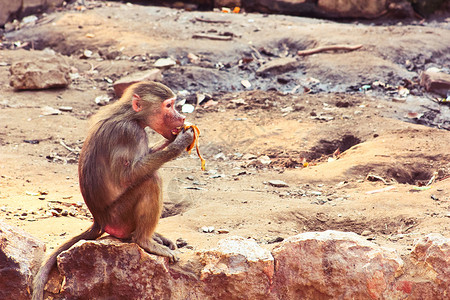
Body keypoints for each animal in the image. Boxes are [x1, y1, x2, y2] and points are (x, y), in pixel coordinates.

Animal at [31, 81, 193, 300]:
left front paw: (174, 138)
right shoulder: (129, 133)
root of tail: (99, 220)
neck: (131, 116)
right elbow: (129, 176)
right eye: (169, 106)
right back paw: (145, 241)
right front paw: (179, 143)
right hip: (119, 217)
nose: (182, 117)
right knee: (151, 180)